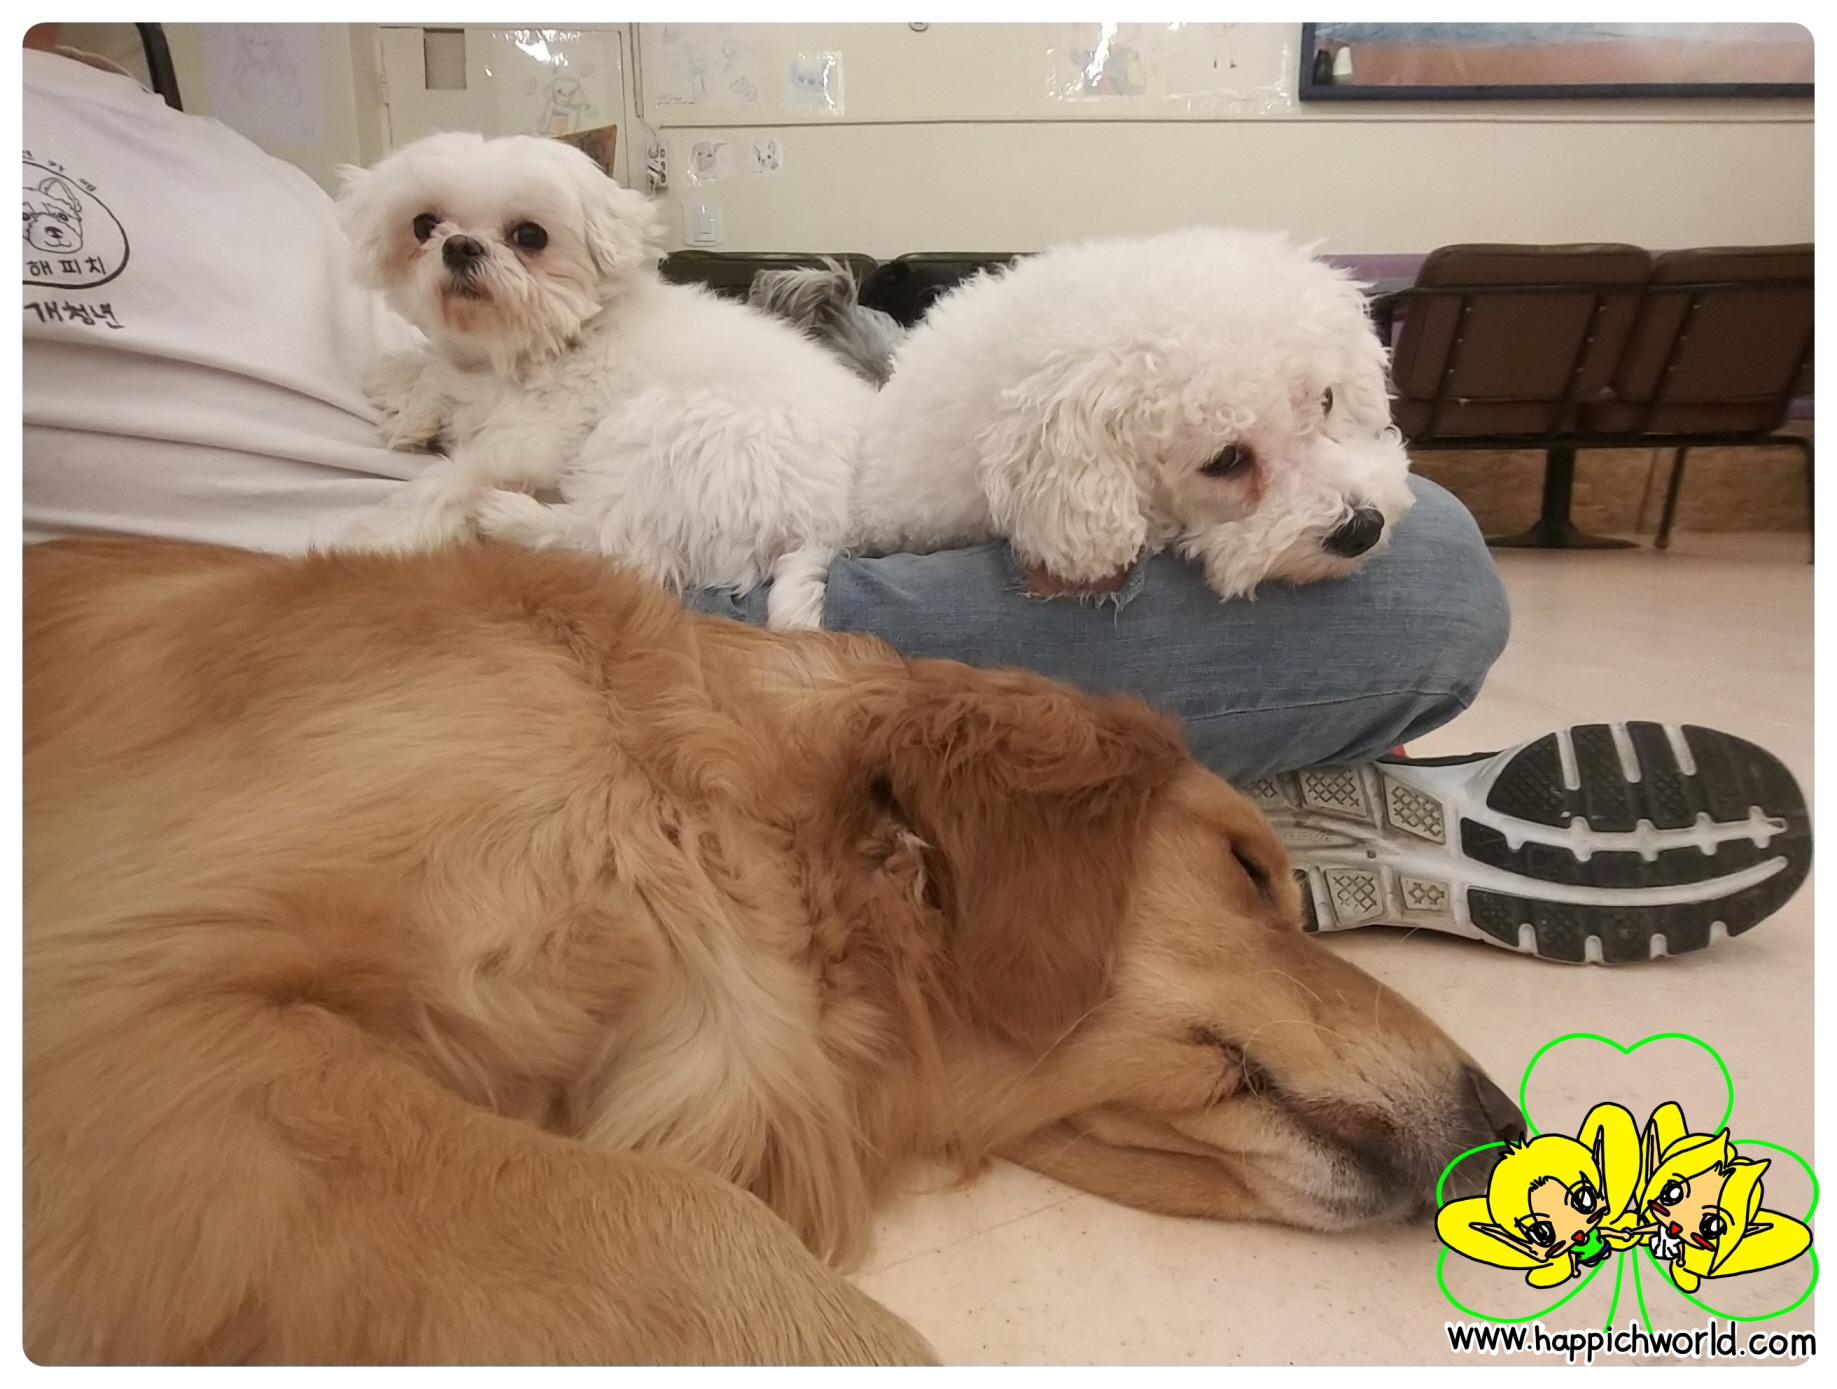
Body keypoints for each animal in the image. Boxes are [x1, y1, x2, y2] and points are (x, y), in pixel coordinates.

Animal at [333, 132, 872, 629]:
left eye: (530, 236)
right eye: (424, 225)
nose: (459, 246)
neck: (551, 340)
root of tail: (831, 528)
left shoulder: (532, 441)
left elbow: (452, 478)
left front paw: (379, 535)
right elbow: (430, 371)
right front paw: (405, 396)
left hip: (662, 425)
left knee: (620, 546)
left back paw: (513, 518)